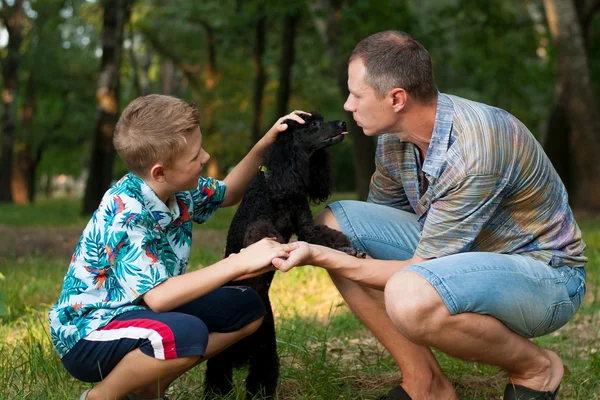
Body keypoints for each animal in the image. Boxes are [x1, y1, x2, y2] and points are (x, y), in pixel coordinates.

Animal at [205, 113, 366, 400]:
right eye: (312, 124)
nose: (343, 124)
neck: (282, 187)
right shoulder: (257, 223)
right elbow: (265, 235)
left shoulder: (306, 226)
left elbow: (326, 237)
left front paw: (350, 250)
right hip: (223, 352)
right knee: (217, 375)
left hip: (265, 346)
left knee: (261, 377)